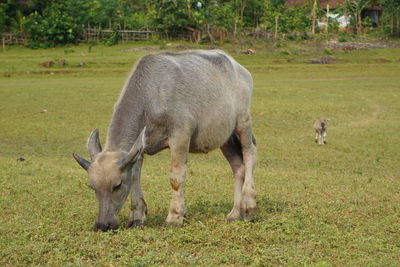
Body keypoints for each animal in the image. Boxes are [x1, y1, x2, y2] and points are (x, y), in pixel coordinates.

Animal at [73, 50, 258, 232]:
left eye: (117, 185)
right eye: (92, 187)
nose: (102, 225)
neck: (151, 97)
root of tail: (241, 70)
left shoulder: (180, 135)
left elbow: (176, 177)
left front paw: (174, 217)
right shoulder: (139, 148)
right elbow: (135, 175)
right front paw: (137, 217)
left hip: (243, 121)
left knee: (249, 153)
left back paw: (249, 207)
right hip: (226, 137)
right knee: (237, 166)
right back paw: (235, 213)